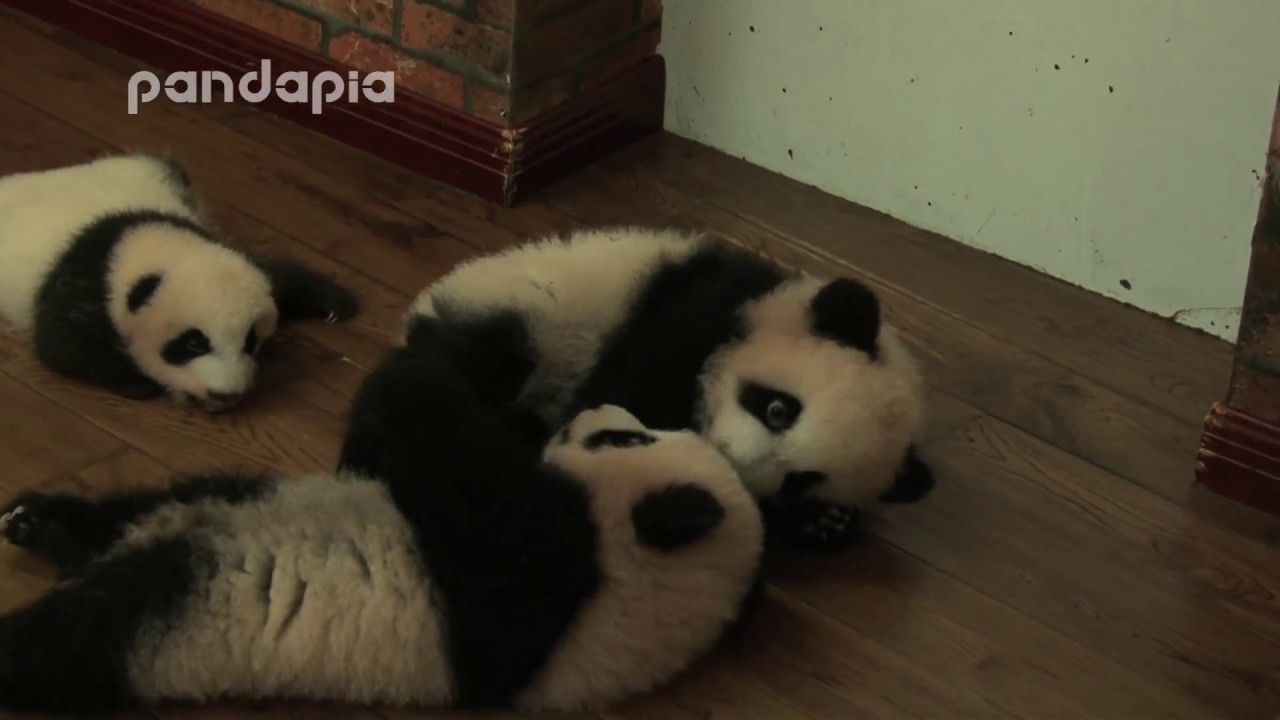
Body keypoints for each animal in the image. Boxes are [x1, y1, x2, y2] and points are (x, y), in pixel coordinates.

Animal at [0, 153, 359, 412]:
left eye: (250, 342)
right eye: (193, 344)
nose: (224, 395)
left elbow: (275, 274)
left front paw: (335, 304)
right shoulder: (85, 281)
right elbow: (62, 345)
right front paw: (138, 381)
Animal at [0, 323, 765, 716]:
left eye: (626, 439)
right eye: (642, 429)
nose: (593, 410)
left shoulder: (535, 591)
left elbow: (448, 463)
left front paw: (428, 366)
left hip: (170, 618)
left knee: (72, 639)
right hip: (231, 494)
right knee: (142, 507)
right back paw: (40, 521)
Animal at [402, 225, 935, 550]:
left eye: (802, 479)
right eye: (778, 409)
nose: (733, 464)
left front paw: (825, 521)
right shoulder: (690, 319)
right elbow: (624, 397)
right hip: (527, 323)